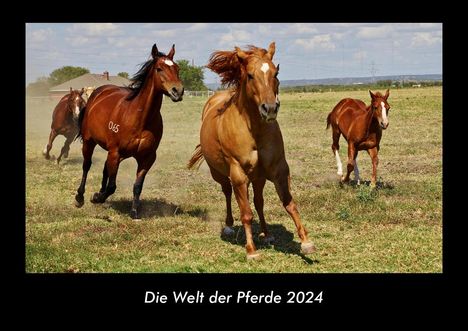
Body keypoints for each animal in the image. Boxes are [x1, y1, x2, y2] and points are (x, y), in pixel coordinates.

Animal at [74, 44, 184, 220]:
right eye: (159, 69)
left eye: (177, 68)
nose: (178, 91)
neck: (140, 118)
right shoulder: (115, 152)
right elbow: (112, 186)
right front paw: (97, 197)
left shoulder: (147, 158)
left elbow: (137, 185)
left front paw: (134, 212)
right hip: (89, 142)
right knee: (86, 165)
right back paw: (80, 197)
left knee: (105, 168)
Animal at [188, 42, 316, 260]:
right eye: (249, 75)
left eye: (275, 72)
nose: (270, 108)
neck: (254, 130)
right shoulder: (238, 173)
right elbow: (246, 213)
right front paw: (251, 250)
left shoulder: (279, 169)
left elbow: (289, 204)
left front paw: (306, 242)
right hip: (221, 174)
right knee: (228, 193)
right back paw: (229, 226)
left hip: (258, 177)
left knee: (258, 201)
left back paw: (266, 233)